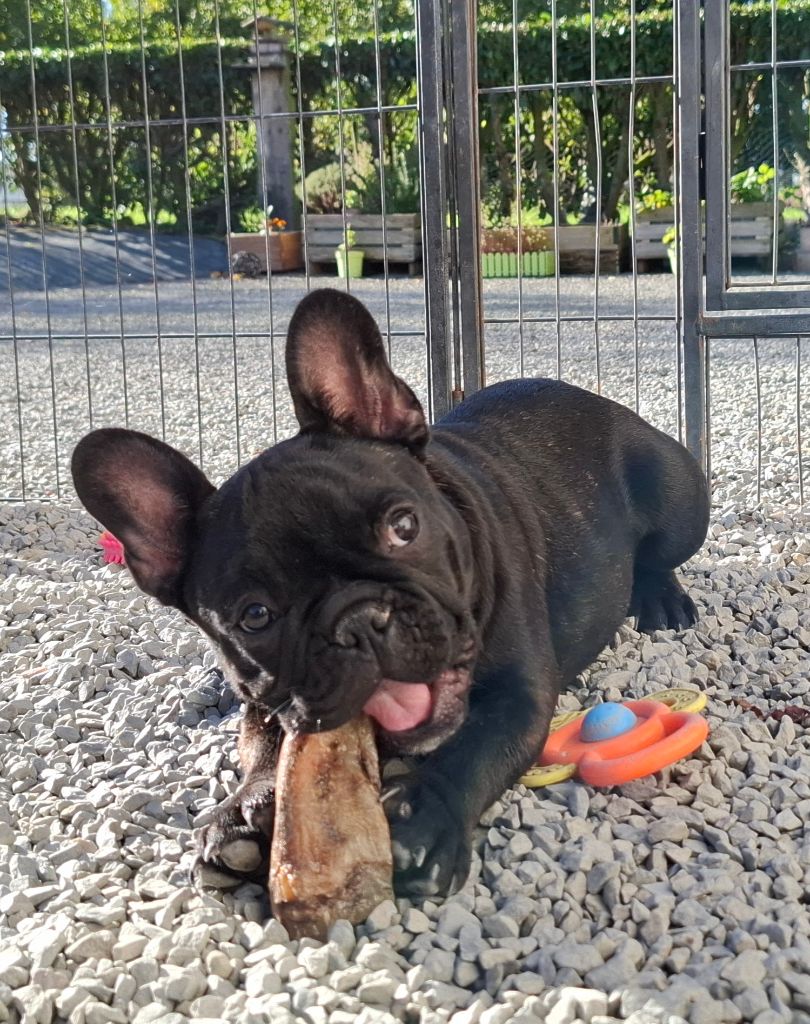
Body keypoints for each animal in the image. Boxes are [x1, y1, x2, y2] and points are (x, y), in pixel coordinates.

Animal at [74, 286, 708, 897]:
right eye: (254, 615)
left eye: (404, 527)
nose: (357, 618)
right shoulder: (267, 701)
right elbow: (262, 744)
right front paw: (242, 816)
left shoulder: (519, 694)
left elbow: (472, 751)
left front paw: (423, 825)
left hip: (680, 501)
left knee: (661, 554)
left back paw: (663, 599)